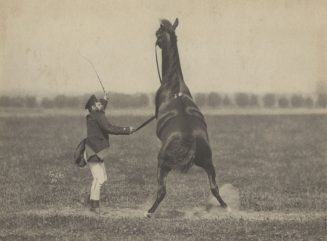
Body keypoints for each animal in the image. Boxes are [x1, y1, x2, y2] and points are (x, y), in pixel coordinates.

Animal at [146, 17, 228, 217]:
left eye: (158, 34)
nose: (155, 41)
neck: (173, 84)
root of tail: (191, 138)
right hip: (208, 162)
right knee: (214, 187)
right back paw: (225, 207)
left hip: (163, 162)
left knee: (162, 190)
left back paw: (149, 212)